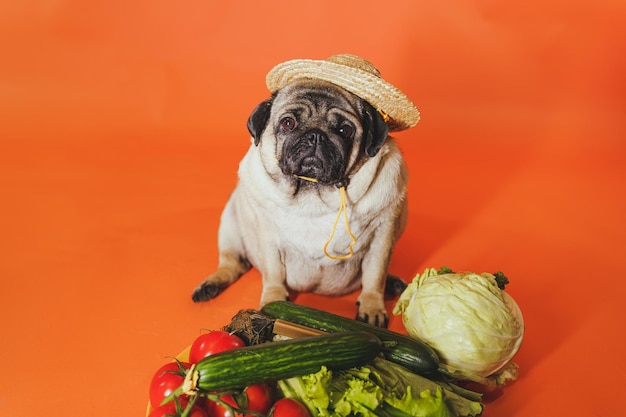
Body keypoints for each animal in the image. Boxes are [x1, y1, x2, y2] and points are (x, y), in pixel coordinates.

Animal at [190, 65, 414, 326]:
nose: (315, 135)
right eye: (288, 123)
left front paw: (372, 306)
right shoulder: (269, 238)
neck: (313, 194)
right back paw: (211, 284)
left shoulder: (383, 234)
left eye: (345, 130)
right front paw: (272, 302)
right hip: (230, 222)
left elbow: (374, 276)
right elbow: (273, 273)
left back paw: (393, 283)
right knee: (233, 262)